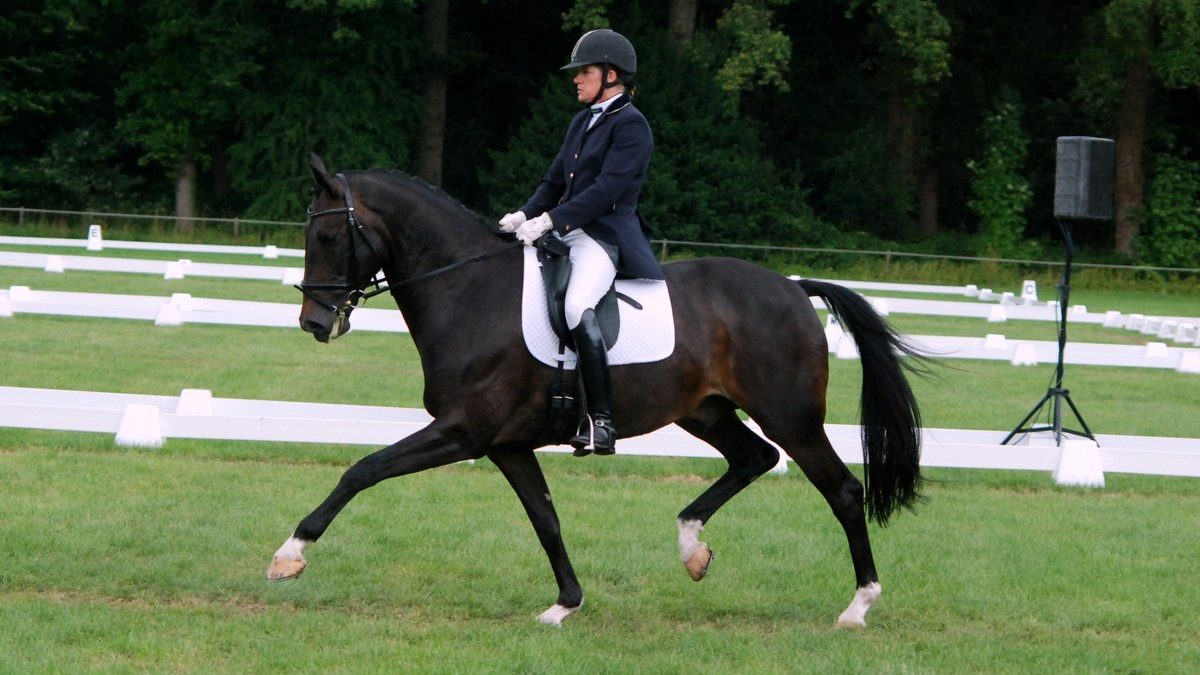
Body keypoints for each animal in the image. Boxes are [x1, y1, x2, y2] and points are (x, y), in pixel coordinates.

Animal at [270, 152, 926, 624]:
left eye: (329, 238)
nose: (314, 323)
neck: (469, 291)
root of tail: (793, 287)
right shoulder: (506, 444)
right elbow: (546, 518)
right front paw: (565, 604)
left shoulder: (463, 430)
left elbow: (363, 469)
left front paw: (290, 554)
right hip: (705, 412)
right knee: (754, 458)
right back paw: (692, 548)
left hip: (790, 415)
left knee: (842, 490)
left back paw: (858, 606)